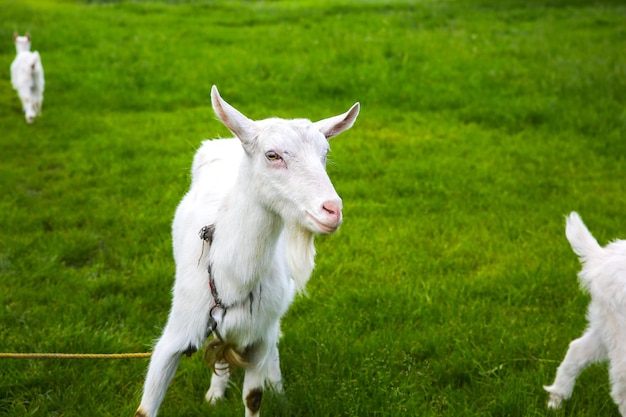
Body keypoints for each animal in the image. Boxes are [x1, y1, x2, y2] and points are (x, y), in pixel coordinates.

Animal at [135, 85, 360, 416]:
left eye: (325, 154)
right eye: (272, 154)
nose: (332, 210)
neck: (232, 279)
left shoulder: (260, 333)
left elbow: (253, 396)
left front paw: (270, 390)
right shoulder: (178, 330)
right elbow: (145, 408)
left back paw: (277, 388)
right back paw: (215, 393)